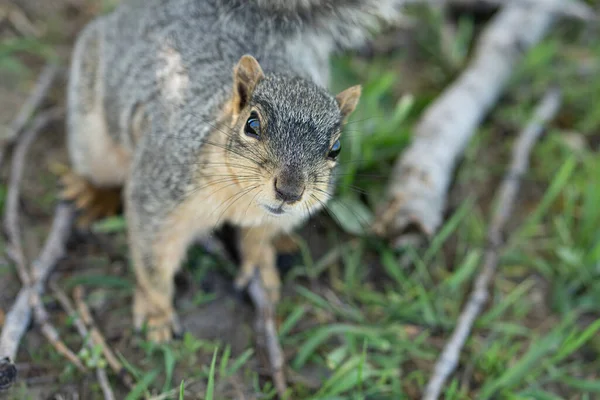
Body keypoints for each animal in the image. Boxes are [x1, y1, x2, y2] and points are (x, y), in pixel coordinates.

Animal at [62, 0, 404, 344]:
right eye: (251, 124)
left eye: (336, 149)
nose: (289, 192)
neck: (242, 197)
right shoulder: (158, 189)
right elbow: (153, 259)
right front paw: (156, 312)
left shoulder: (284, 214)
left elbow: (259, 239)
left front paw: (260, 265)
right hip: (93, 130)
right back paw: (93, 194)